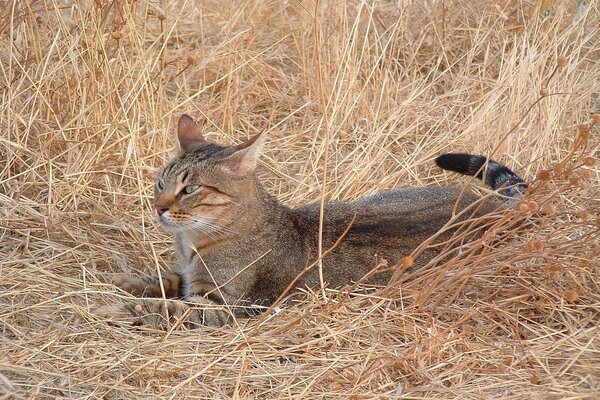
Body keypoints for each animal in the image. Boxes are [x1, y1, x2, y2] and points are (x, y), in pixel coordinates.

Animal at [104, 114, 524, 326]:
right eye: (160, 182)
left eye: (190, 189)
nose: (158, 207)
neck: (191, 243)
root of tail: (490, 209)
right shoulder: (187, 278)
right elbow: (163, 280)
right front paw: (127, 282)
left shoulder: (218, 304)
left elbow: (166, 308)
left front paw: (119, 307)